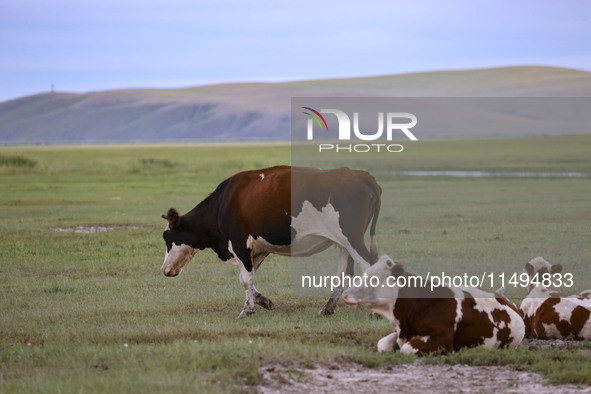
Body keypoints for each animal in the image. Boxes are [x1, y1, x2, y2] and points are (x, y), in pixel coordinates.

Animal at [160, 165, 382, 318]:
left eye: (167, 237)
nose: (164, 269)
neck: (223, 203)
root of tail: (359, 174)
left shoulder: (239, 243)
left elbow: (246, 279)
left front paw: (247, 310)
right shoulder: (257, 250)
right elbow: (247, 279)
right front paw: (262, 301)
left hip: (352, 238)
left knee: (370, 266)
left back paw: (375, 311)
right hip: (345, 242)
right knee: (343, 274)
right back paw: (327, 309)